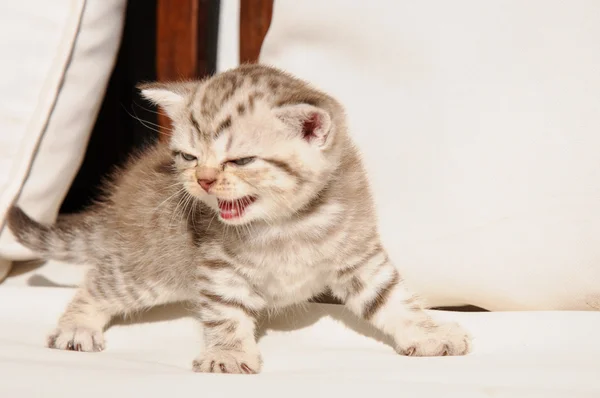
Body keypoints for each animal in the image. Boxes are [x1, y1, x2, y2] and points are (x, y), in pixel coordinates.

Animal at [7, 63, 472, 372]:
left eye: (242, 160)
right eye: (189, 157)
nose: (204, 179)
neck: (287, 223)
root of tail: (120, 202)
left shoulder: (359, 255)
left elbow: (392, 299)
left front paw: (430, 334)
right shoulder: (217, 266)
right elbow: (225, 311)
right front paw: (228, 353)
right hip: (148, 269)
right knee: (99, 284)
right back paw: (77, 327)